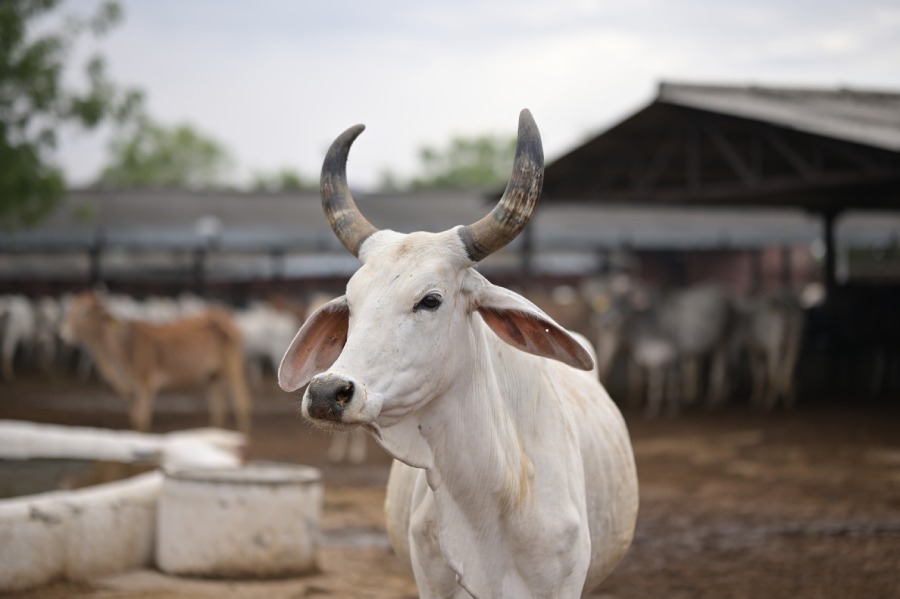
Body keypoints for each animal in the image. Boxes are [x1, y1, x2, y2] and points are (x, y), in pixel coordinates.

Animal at [60, 292, 253, 433]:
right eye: (70, 309)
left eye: (85, 312)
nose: (64, 334)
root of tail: (221, 315)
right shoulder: (132, 390)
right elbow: (134, 418)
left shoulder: (146, 385)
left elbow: (141, 421)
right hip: (212, 377)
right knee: (219, 410)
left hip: (232, 368)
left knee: (242, 403)